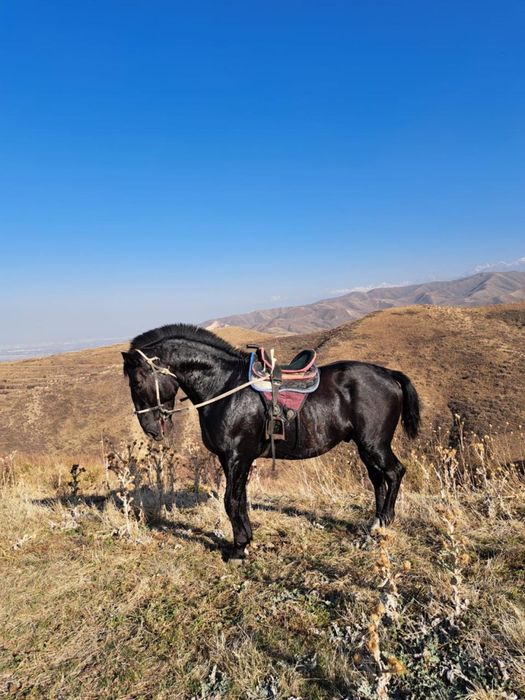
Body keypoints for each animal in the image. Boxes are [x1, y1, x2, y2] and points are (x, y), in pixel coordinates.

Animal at [122, 324, 420, 561]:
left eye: (137, 383)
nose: (150, 429)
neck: (224, 386)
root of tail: (389, 374)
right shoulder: (233, 460)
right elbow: (240, 500)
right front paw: (245, 541)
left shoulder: (236, 457)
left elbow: (231, 501)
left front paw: (238, 549)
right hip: (364, 446)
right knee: (377, 479)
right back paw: (375, 524)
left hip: (375, 444)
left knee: (394, 472)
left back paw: (384, 522)